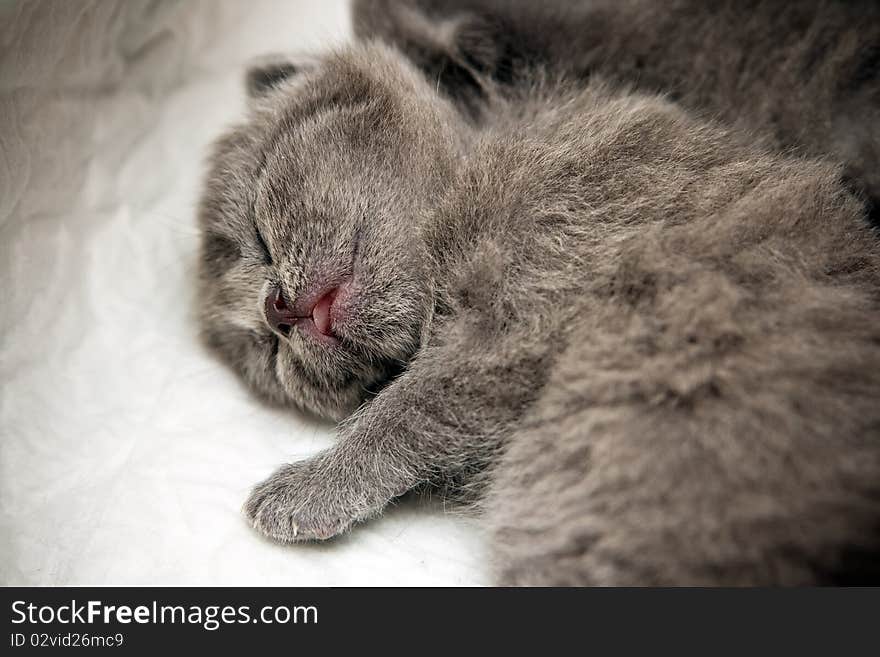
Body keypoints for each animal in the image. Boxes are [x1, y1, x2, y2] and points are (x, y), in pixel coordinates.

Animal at [198, 5, 880, 580]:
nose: (274, 311)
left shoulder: (540, 300)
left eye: (257, 232)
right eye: (269, 356)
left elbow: (411, 406)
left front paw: (307, 488)